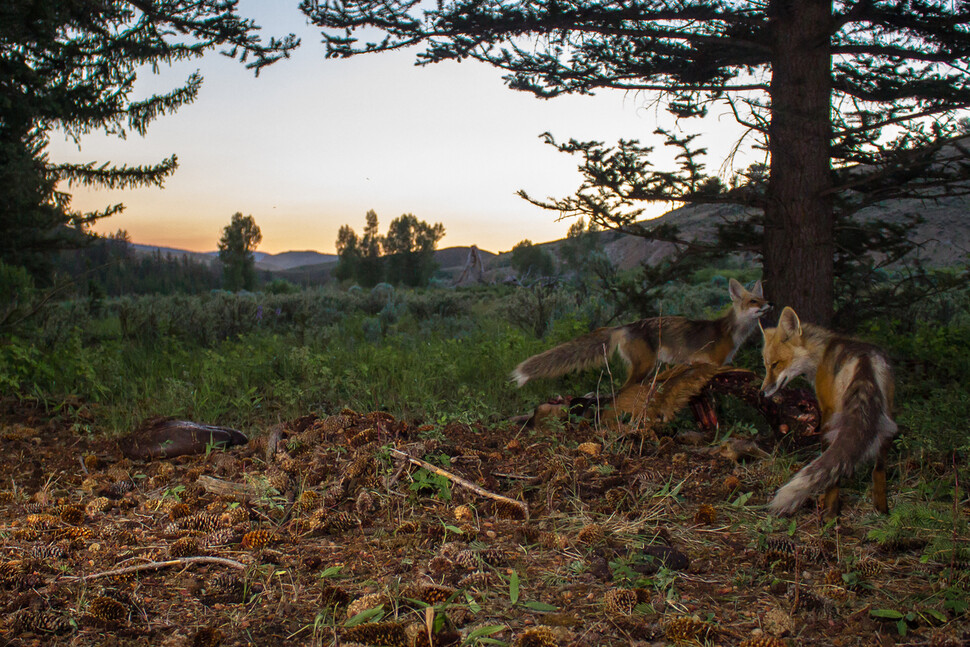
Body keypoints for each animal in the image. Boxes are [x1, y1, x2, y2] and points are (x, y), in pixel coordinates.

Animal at [510, 278, 768, 390]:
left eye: (762, 299)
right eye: (754, 301)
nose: (771, 304)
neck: (732, 332)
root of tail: (625, 325)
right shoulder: (715, 364)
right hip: (645, 366)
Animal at [760, 308, 896, 516]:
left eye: (775, 364)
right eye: (766, 365)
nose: (761, 392)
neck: (820, 353)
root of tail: (864, 359)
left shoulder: (825, 409)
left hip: (835, 419)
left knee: (834, 474)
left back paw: (829, 514)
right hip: (886, 419)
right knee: (879, 471)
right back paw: (882, 511)